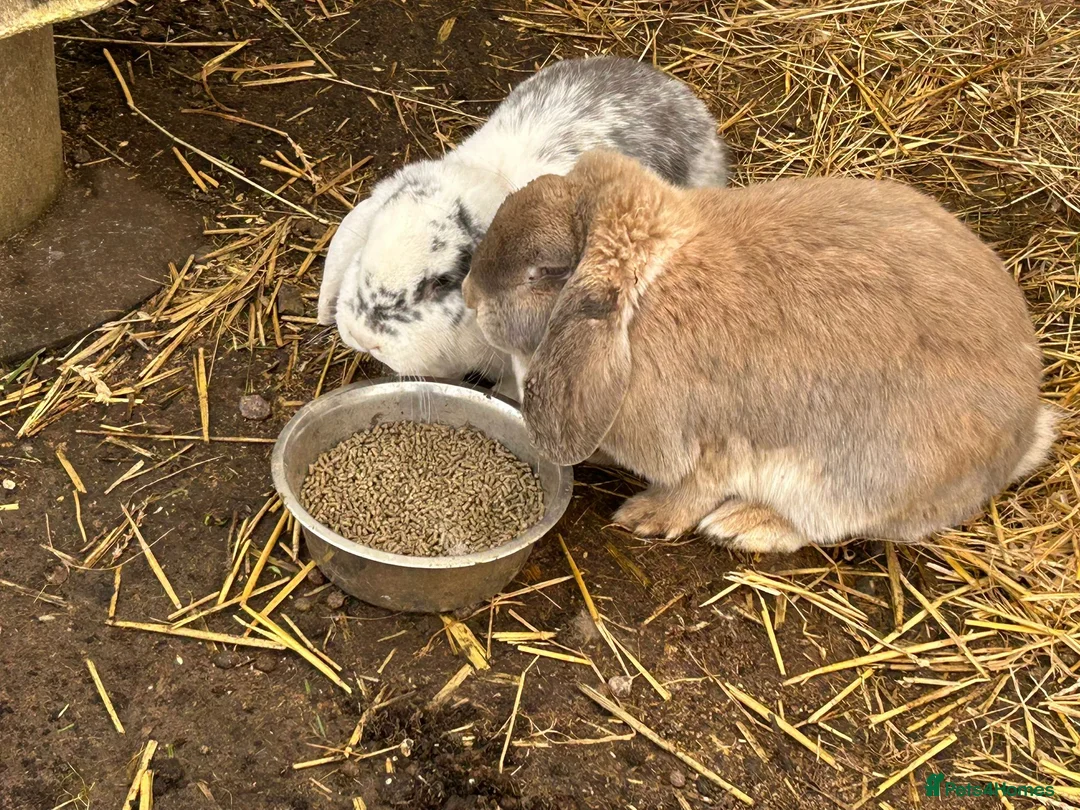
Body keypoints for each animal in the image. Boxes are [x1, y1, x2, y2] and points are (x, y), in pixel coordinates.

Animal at [461, 149, 1056, 553]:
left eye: (544, 273)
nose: (468, 293)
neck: (647, 302)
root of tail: (1025, 434)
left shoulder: (713, 440)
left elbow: (698, 486)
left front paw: (647, 517)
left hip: (856, 480)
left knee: (824, 526)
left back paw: (743, 526)